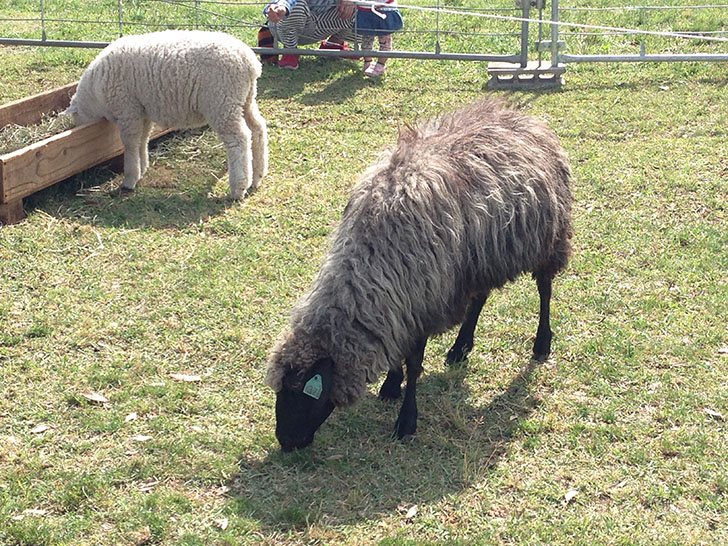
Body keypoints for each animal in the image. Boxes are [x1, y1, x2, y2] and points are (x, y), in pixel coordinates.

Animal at [66, 29, 268, 200]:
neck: (96, 91)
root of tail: (250, 62)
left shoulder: (128, 110)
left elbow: (130, 144)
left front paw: (130, 179)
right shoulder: (142, 111)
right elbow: (143, 140)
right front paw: (142, 169)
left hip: (222, 102)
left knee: (239, 139)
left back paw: (238, 188)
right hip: (245, 99)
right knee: (258, 128)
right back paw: (258, 176)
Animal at [264, 99, 572, 450]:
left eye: (307, 394)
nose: (287, 442)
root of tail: (524, 116)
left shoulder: (424, 300)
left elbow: (413, 363)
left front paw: (406, 419)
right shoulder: (402, 304)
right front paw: (390, 384)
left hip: (548, 236)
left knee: (545, 288)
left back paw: (542, 343)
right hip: (481, 257)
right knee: (479, 297)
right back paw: (460, 348)